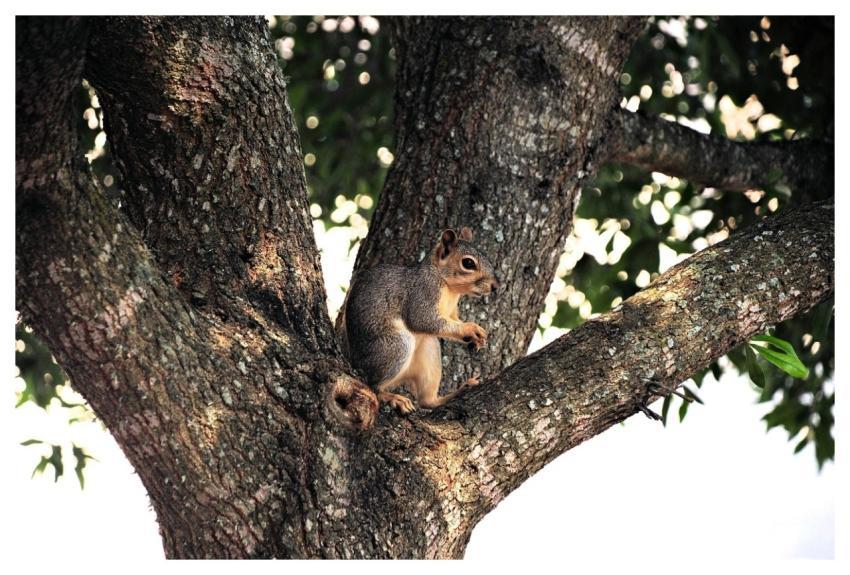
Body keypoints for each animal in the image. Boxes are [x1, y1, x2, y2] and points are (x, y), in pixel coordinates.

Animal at [336, 227, 499, 414]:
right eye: (468, 263)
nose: (495, 286)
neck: (449, 287)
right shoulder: (422, 293)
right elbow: (422, 319)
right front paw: (470, 329)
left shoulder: (451, 313)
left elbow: (454, 320)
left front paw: (477, 335)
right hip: (394, 346)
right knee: (372, 384)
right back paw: (392, 397)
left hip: (429, 349)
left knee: (426, 401)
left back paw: (456, 392)